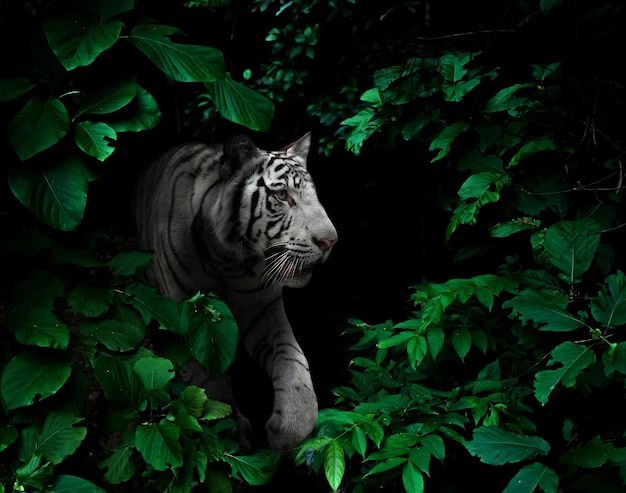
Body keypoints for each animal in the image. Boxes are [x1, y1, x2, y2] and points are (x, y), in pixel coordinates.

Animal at [132, 134, 336, 450]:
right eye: (282, 196)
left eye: (313, 195)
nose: (331, 241)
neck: (228, 260)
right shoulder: (185, 314)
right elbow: (207, 374)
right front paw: (229, 430)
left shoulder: (262, 309)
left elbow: (292, 357)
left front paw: (290, 427)